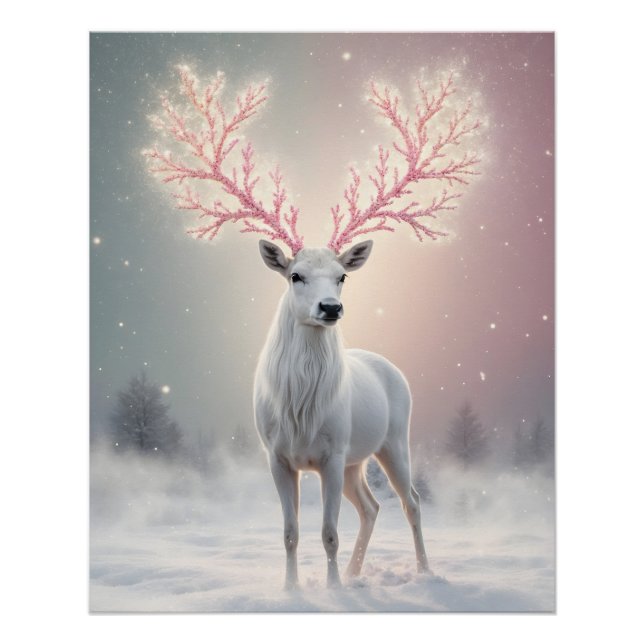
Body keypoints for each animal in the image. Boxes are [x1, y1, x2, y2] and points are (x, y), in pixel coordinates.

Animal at [144, 66, 481, 589]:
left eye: (342, 276)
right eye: (295, 275)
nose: (330, 307)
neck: (301, 407)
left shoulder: (330, 453)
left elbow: (327, 533)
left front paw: (334, 591)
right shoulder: (278, 456)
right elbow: (290, 533)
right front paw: (292, 590)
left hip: (393, 439)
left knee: (411, 502)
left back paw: (424, 572)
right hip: (357, 460)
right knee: (371, 507)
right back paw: (360, 572)